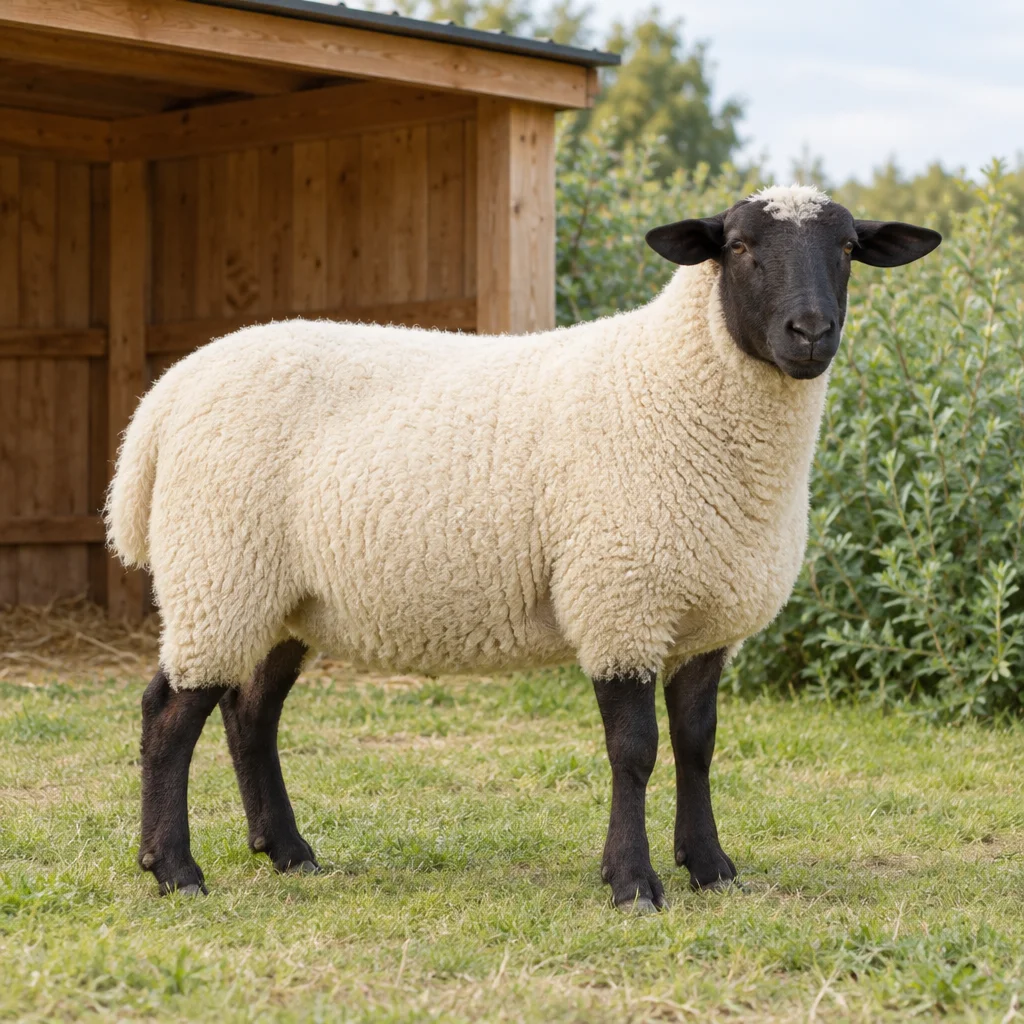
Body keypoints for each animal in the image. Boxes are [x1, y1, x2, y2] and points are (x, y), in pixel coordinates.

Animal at [107, 185, 941, 908]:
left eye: (847, 248)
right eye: (737, 246)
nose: (811, 334)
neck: (675, 383)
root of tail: (167, 394)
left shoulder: (708, 617)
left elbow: (698, 746)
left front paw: (710, 867)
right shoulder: (619, 598)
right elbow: (635, 751)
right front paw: (633, 883)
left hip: (284, 595)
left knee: (250, 713)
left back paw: (288, 853)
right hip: (219, 571)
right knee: (168, 714)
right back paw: (174, 869)